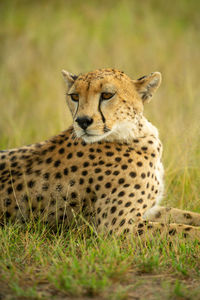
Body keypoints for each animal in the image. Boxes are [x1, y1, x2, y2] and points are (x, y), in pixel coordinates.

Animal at [0, 69, 200, 240]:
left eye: (107, 95)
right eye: (75, 96)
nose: (82, 121)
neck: (132, 133)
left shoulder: (150, 210)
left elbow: (187, 217)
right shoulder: (117, 228)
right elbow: (184, 231)